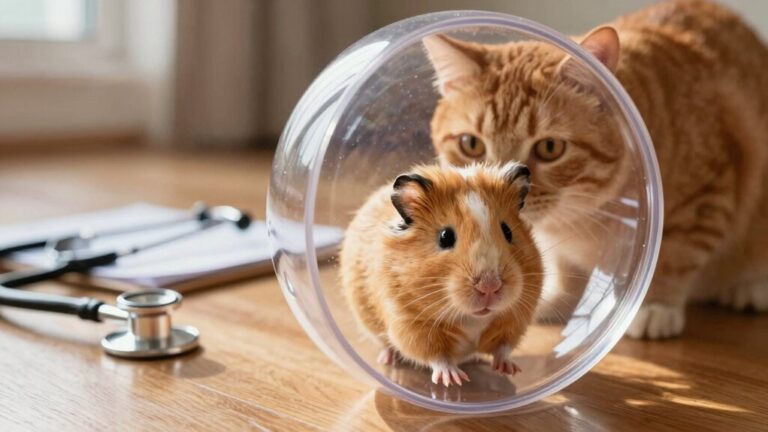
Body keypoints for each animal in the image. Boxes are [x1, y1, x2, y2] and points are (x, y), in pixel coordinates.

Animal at [340, 162, 543, 386]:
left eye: (507, 231)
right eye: (445, 237)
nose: (489, 286)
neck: (472, 318)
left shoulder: (516, 318)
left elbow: (503, 348)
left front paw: (510, 370)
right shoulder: (411, 326)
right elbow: (437, 356)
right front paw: (454, 380)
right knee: (386, 344)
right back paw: (388, 360)